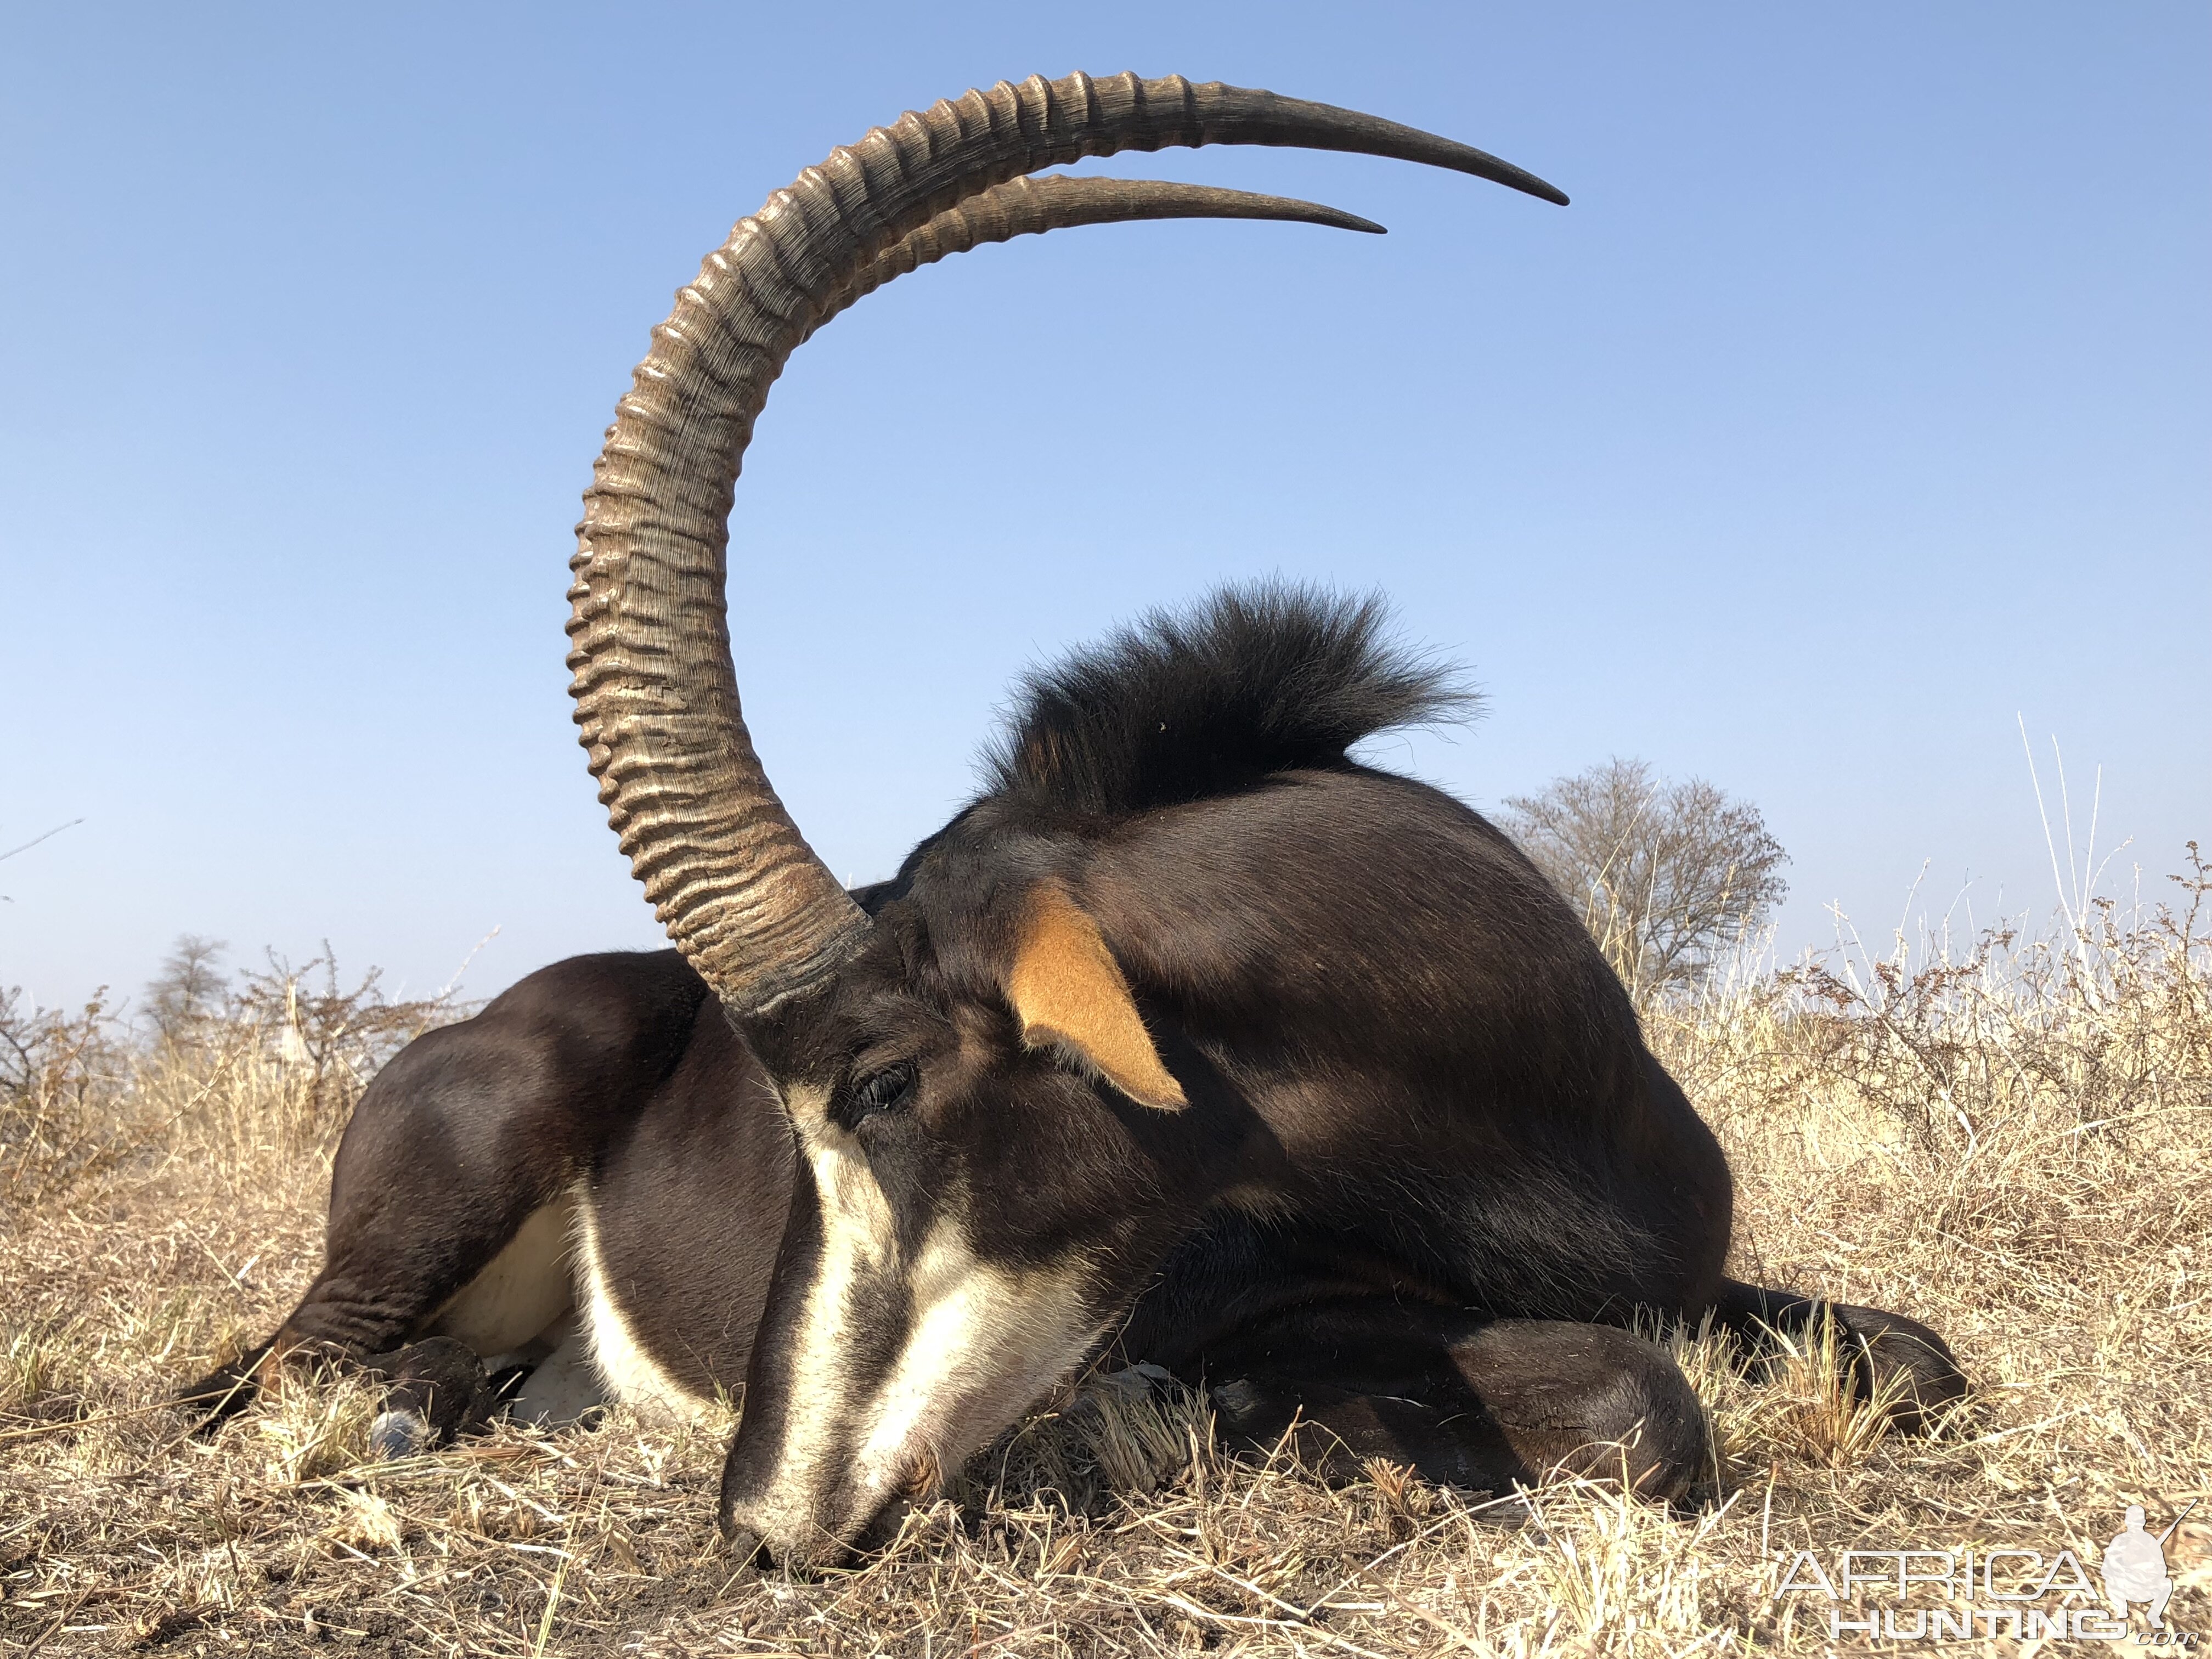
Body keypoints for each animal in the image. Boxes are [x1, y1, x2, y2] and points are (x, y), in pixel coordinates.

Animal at [181, 75, 1964, 1575]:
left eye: (883, 1084)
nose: (764, 1523)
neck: (1528, 1112)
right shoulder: (1245, 1316)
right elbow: (1631, 1401)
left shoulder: (1694, 1272)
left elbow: (1911, 1357)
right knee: (260, 1375)